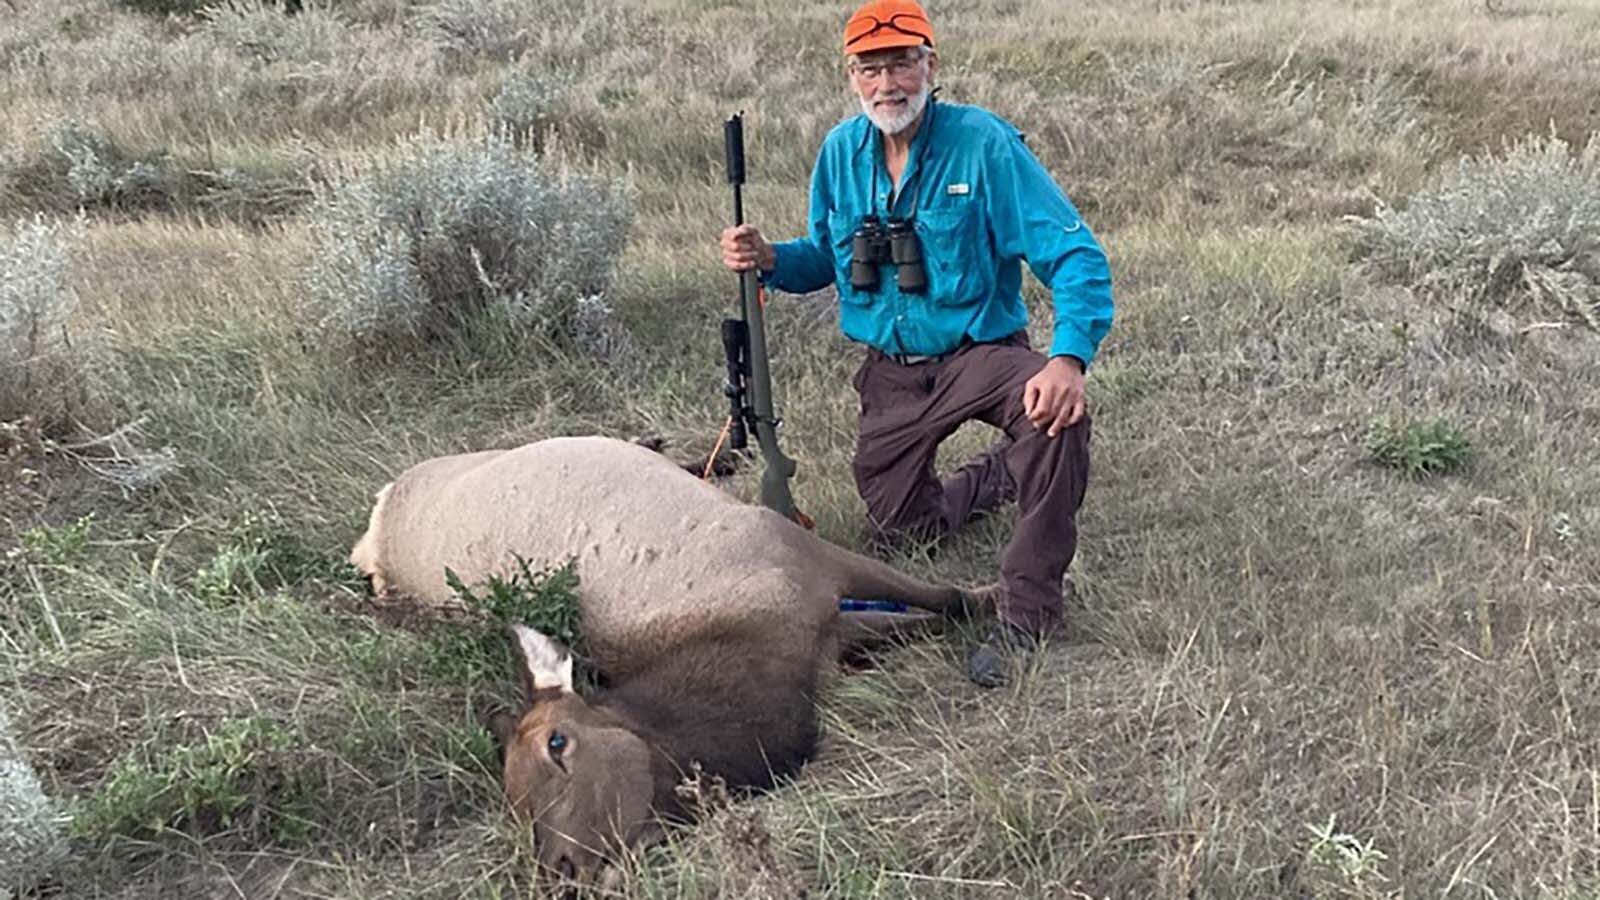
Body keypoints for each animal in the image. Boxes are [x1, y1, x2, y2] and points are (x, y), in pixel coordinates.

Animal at [349, 435, 988, 891]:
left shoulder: (810, 559)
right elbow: (928, 615)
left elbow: (952, 597)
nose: (561, 871)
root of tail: (375, 529)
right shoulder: (832, 632)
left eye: (557, 742)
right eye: (514, 800)